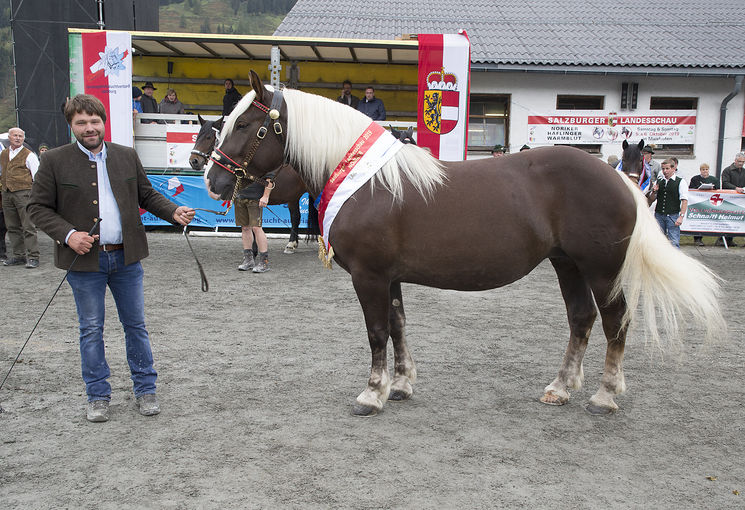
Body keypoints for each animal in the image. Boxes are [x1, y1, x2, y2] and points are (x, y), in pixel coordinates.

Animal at [189, 114, 316, 252]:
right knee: (295, 216)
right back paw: (292, 244)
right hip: (293, 197)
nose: (193, 161)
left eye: (209, 137)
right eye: (198, 135)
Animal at [206, 74, 724, 418]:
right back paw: (560, 388)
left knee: (616, 322)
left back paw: (605, 395)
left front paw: (371, 394)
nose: (213, 180)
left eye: (245, 126)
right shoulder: (390, 277)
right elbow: (398, 326)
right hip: (567, 265)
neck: (368, 181)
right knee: (582, 319)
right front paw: (401, 386)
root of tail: (618, 178)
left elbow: (377, 331)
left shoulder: (370, 276)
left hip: (600, 267)